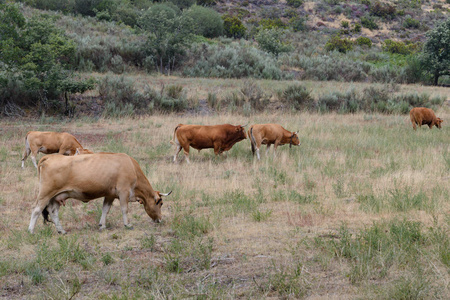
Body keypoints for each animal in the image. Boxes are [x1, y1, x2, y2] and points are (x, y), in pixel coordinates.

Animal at [28, 152, 171, 234]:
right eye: (161, 203)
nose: (160, 219)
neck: (131, 166)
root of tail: (50, 157)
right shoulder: (123, 191)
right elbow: (124, 209)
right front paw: (127, 224)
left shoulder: (110, 195)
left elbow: (105, 209)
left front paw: (102, 225)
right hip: (45, 193)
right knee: (36, 210)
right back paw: (31, 230)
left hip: (57, 197)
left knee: (53, 212)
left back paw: (61, 230)